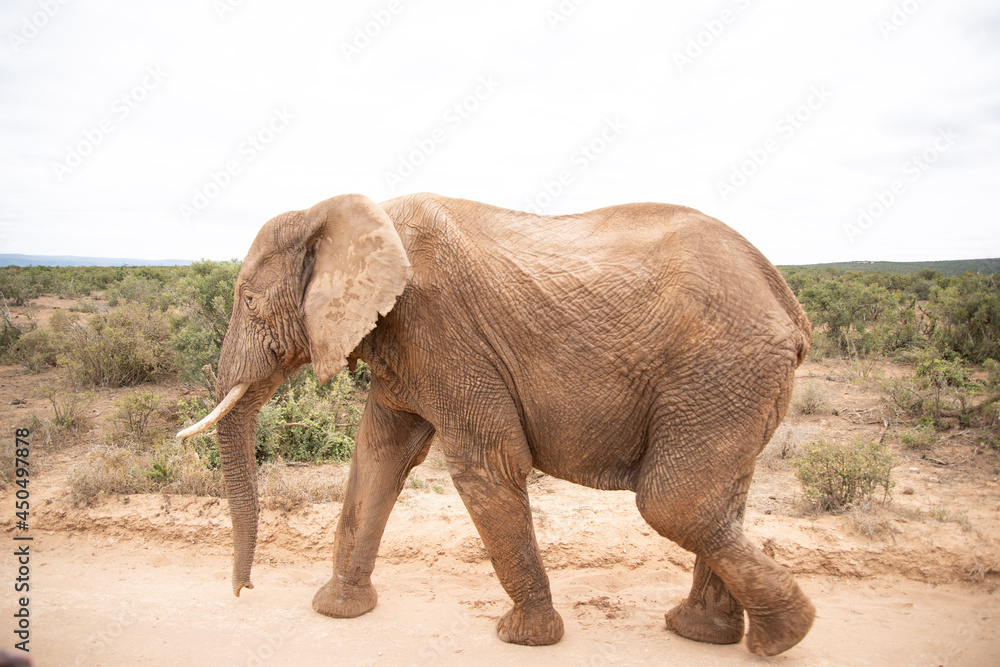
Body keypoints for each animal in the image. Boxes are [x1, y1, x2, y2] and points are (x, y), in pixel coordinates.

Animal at [177, 192, 815, 656]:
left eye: (249, 302)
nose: (244, 590)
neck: (337, 214)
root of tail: (787, 301)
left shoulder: (441, 330)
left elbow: (484, 463)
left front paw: (525, 639)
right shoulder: (403, 347)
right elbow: (379, 457)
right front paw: (336, 610)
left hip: (720, 371)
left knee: (675, 502)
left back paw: (785, 635)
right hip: (733, 386)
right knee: (720, 499)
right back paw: (707, 633)